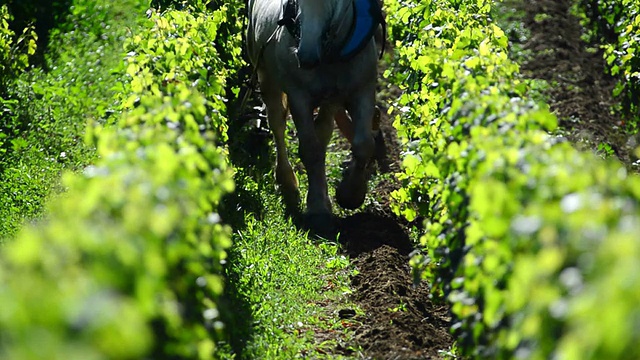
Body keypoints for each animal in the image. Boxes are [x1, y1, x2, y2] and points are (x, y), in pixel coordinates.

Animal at [248, 0, 382, 236]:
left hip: (331, 100)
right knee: (277, 125)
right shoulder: (299, 97)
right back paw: (287, 183)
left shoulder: (362, 89)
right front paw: (318, 211)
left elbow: (364, 144)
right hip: (267, 77)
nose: (307, 56)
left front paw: (350, 194)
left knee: (325, 130)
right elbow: (310, 149)